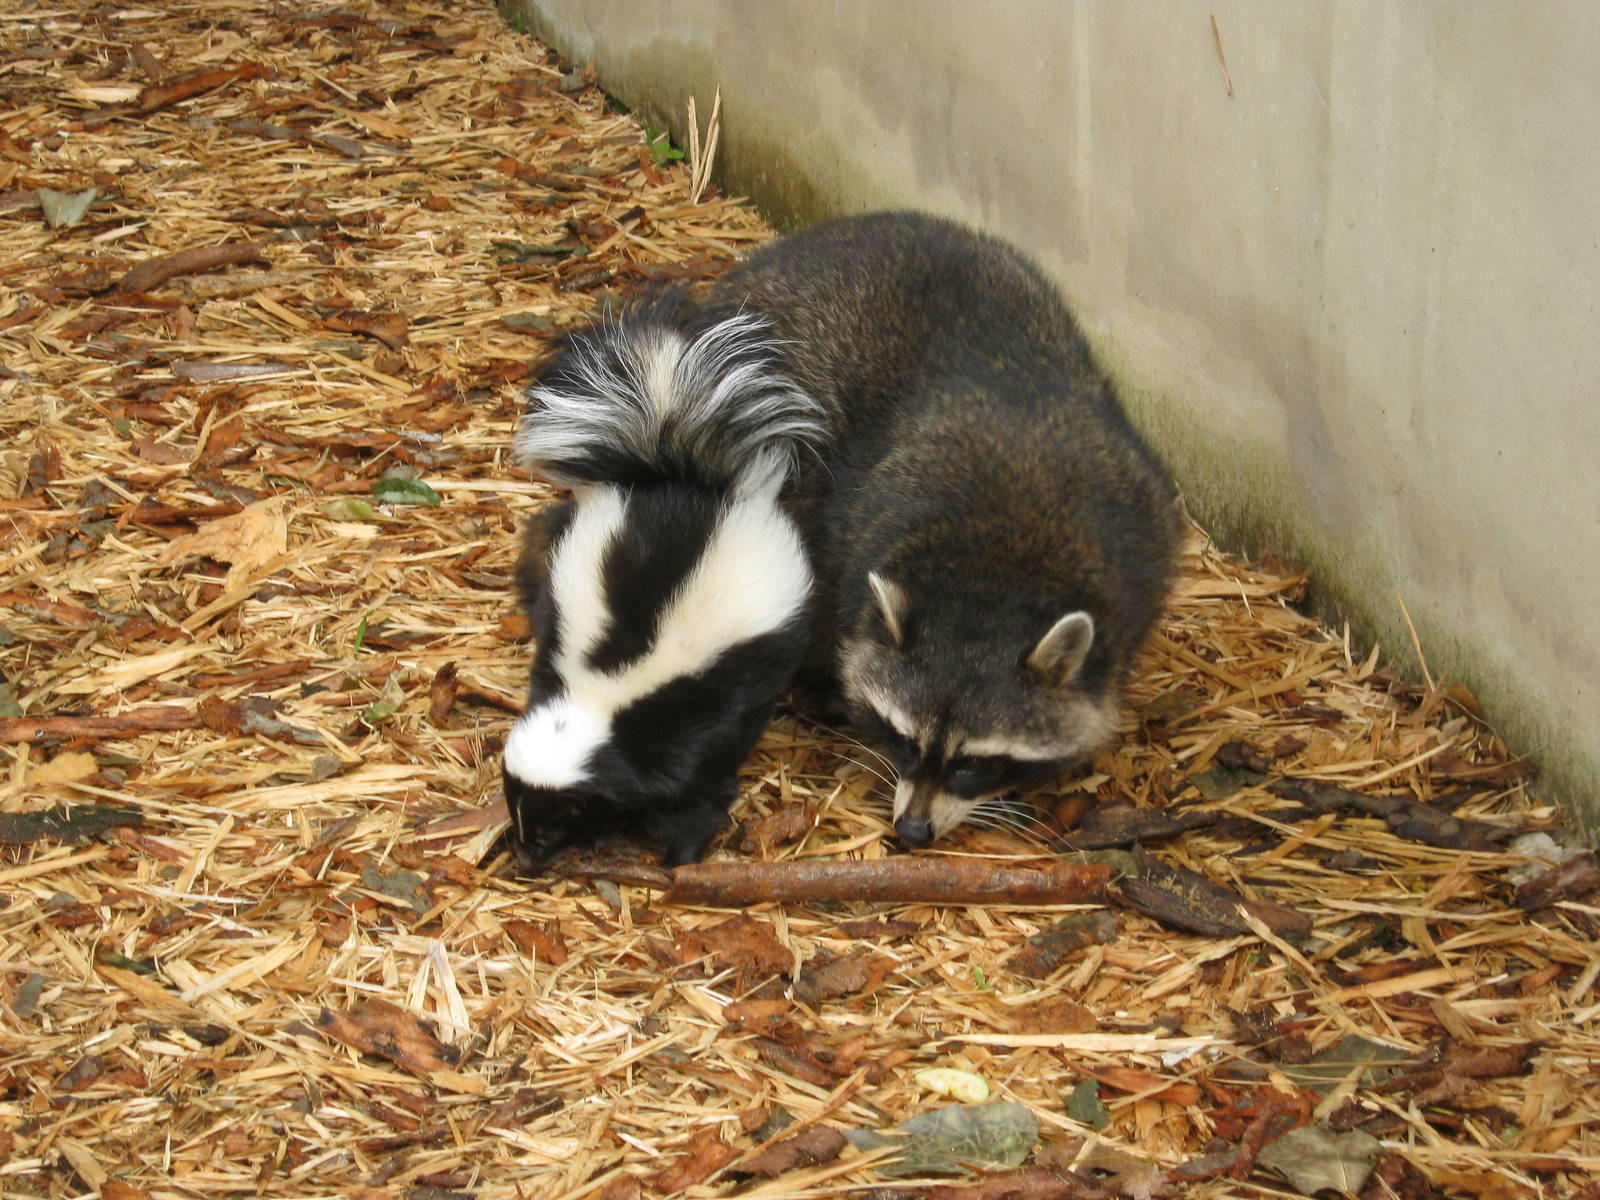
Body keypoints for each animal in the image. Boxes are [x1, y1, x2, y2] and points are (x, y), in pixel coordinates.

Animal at [503, 291, 823, 869]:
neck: (603, 698)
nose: (524, 861)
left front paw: (682, 856)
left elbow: (696, 792)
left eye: (554, 824)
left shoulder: (689, 725)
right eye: (516, 809)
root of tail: (681, 476)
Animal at [708, 212, 1182, 846]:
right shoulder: (861, 533)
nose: (912, 831)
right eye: (905, 742)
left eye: (974, 763)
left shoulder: (1141, 542)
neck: (995, 577)